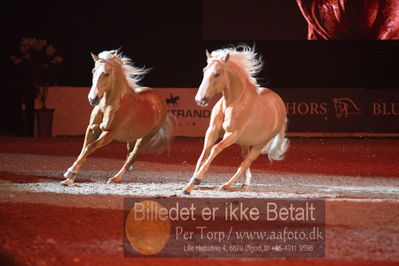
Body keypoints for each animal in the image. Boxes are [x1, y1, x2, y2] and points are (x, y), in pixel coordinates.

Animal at [61, 51, 171, 186]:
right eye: (93, 71)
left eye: (107, 73)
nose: (93, 99)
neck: (108, 105)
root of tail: (160, 100)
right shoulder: (92, 129)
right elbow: (84, 149)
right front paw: (69, 178)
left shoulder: (109, 133)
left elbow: (89, 147)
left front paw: (69, 172)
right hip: (132, 136)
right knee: (129, 154)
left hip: (145, 137)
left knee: (133, 155)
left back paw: (116, 178)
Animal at [180, 45, 288, 194]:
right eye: (204, 71)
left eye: (217, 74)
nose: (200, 100)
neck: (234, 102)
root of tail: (280, 105)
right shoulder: (212, 131)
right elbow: (203, 155)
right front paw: (188, 185)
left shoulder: (232, 134)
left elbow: (215, 149)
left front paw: (196, 180)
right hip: (245, 142)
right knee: (245, 160)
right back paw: (245, 184)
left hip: (260, 144)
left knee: (245, 163)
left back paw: (227, 185)